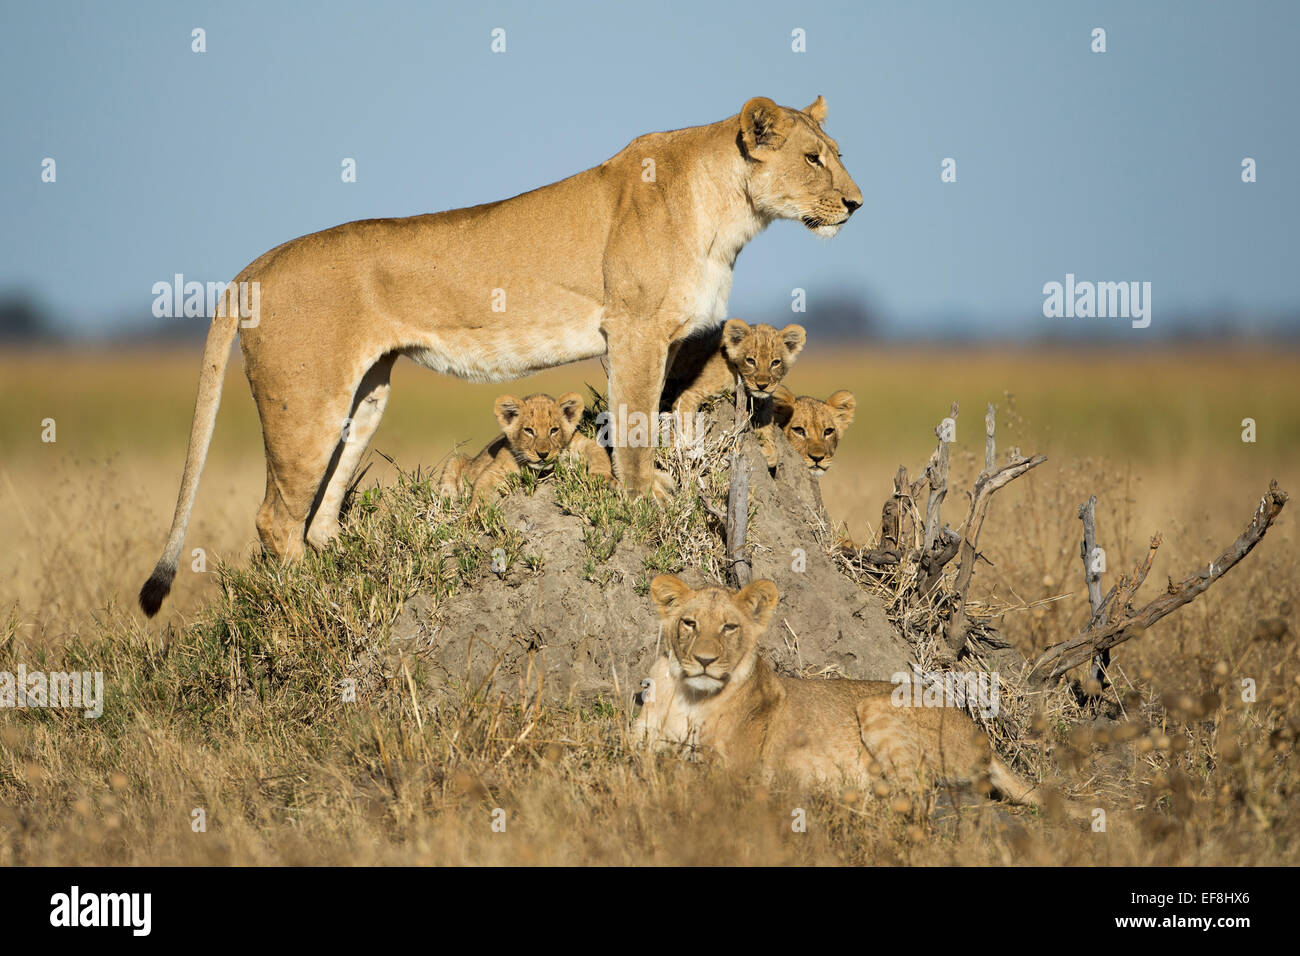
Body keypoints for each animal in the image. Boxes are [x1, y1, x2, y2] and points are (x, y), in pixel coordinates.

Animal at [437, 392, 611, 506]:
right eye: (528, 430)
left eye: (554, 430)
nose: (543, 454)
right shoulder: (497, 470)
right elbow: (481, 489)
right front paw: (473, 518)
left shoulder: (579, 443)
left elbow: (598, 453)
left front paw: (603, 478)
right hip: (456, 459)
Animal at [632, 574, 1048, 810]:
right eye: (689, 623)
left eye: (729, 627)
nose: (704, 660)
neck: (689, 696)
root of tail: (984, 740)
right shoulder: (639, 744)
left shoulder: (733, 768)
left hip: (878, 706)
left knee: (915, 790)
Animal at [662, 319, 805, 466]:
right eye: (750, 361)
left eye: (775, 362)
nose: (762, 385)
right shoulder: (689, 394)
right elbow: (684, 423)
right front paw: (685, 449)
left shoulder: (765, 397)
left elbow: (766, 419)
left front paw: (770, 450)